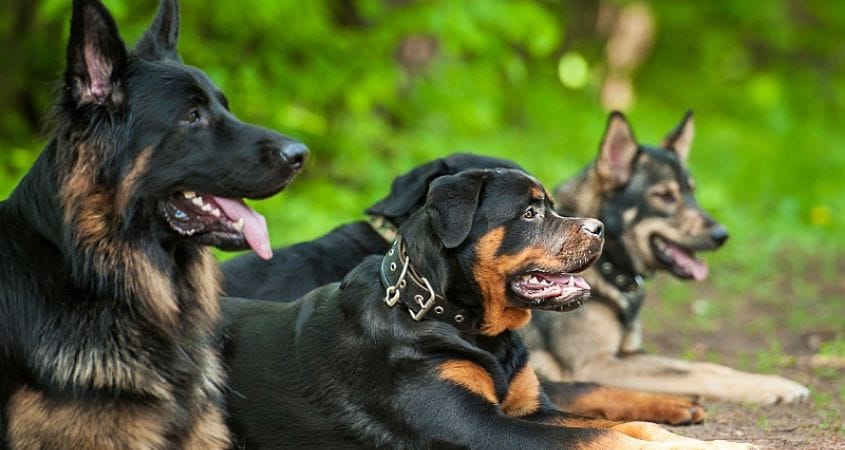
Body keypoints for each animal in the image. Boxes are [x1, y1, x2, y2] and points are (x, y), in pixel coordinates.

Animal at [221, 170, 748, 450]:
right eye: (530, 213)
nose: (599, 227)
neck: (460, 322)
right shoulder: (473, 427)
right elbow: (603, 437)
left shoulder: (532, 410)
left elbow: (628, 426)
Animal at [516, 111, 808, 404]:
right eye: (665, 195)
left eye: (692, 191)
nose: (721, 235)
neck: (607, 265)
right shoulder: (594, 365)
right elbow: (696, 374)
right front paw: (773, 387)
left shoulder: (628, 354)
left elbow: (704, 366)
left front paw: (769, 380)